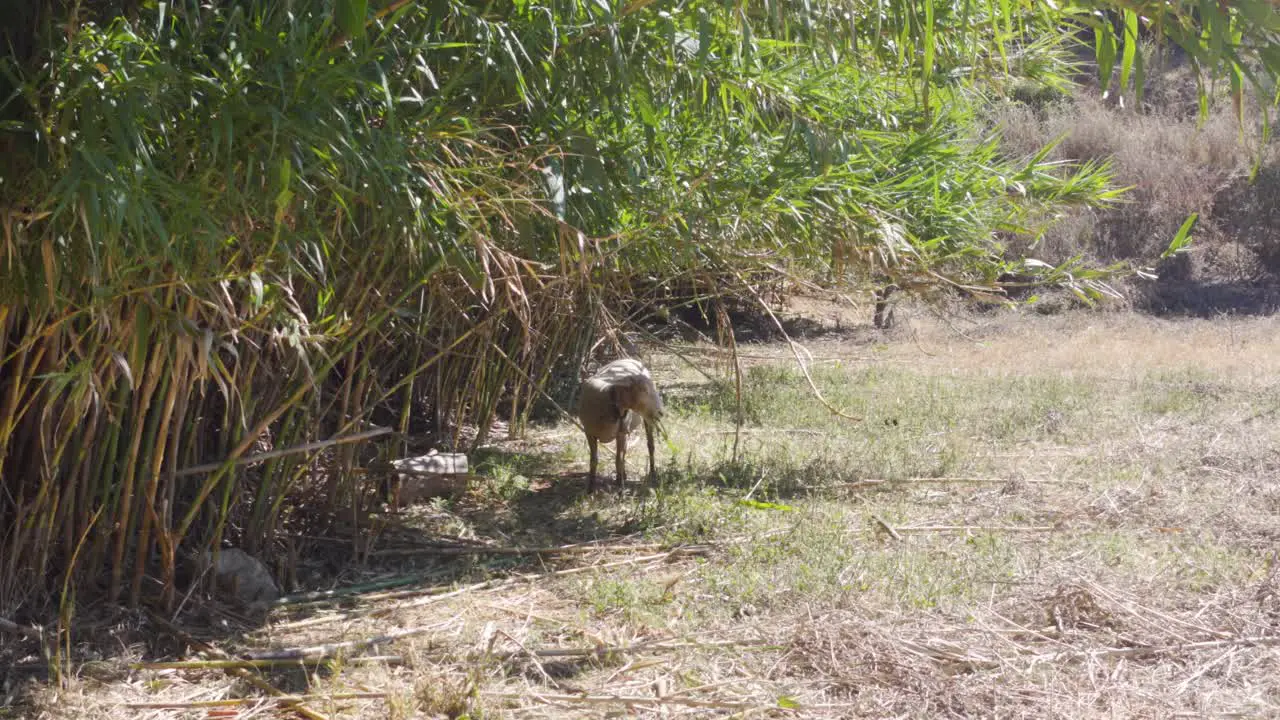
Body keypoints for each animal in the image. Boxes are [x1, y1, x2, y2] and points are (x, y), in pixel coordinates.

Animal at [576, 356, 665, 489]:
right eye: (644, 390)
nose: (660, 412)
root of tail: (629, 358)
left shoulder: (620, 433)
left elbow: (618, 460)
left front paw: (620, 487)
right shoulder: (589, 432)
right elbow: (593, 460)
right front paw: (590, 488)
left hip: (644, 420)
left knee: (650, 445)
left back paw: (652, 473)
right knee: (625, 451)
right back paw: (624, 475)